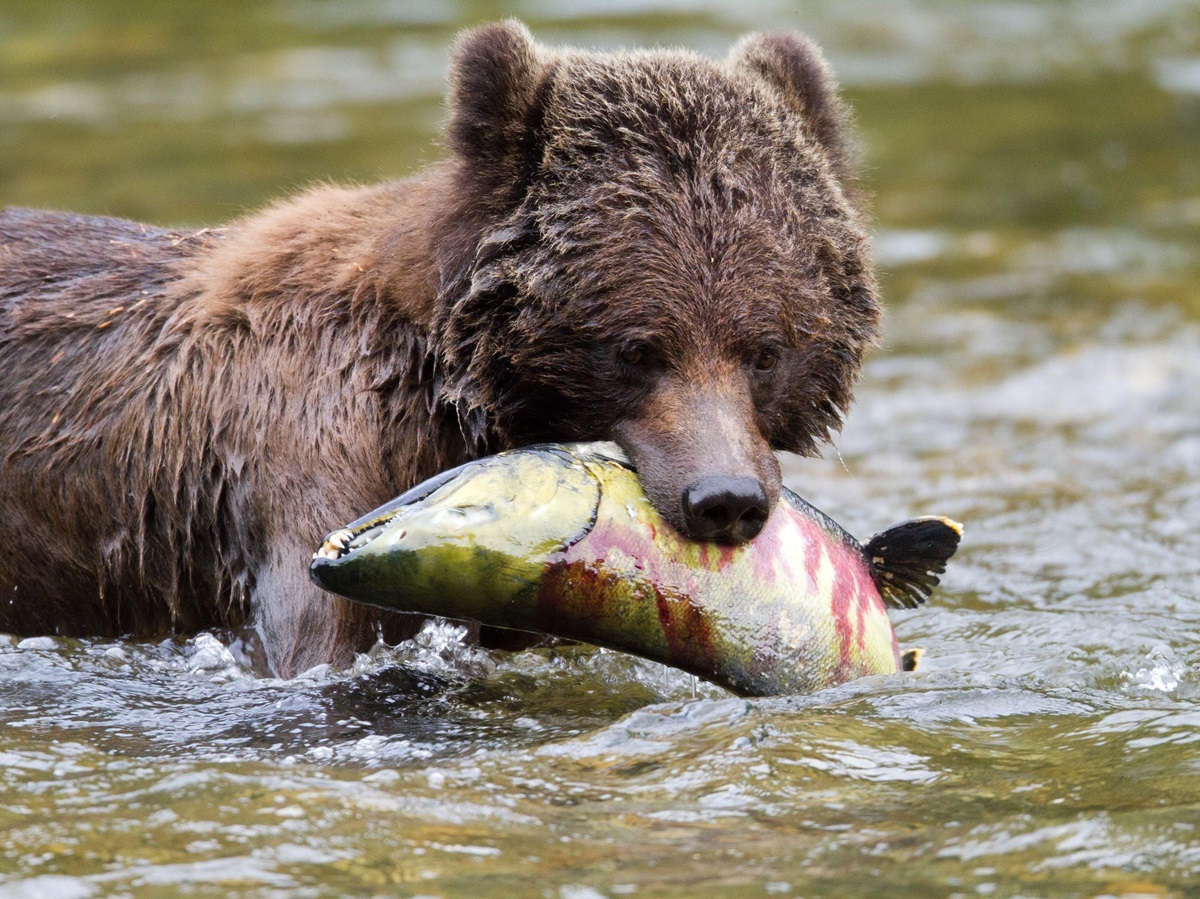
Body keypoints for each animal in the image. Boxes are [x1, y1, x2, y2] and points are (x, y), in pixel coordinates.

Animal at [0, 21, 879, 676]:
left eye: (764, 349)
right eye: (637, 348)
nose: (725, 498)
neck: (447, 386)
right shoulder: (307, 469)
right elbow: (319, 639)